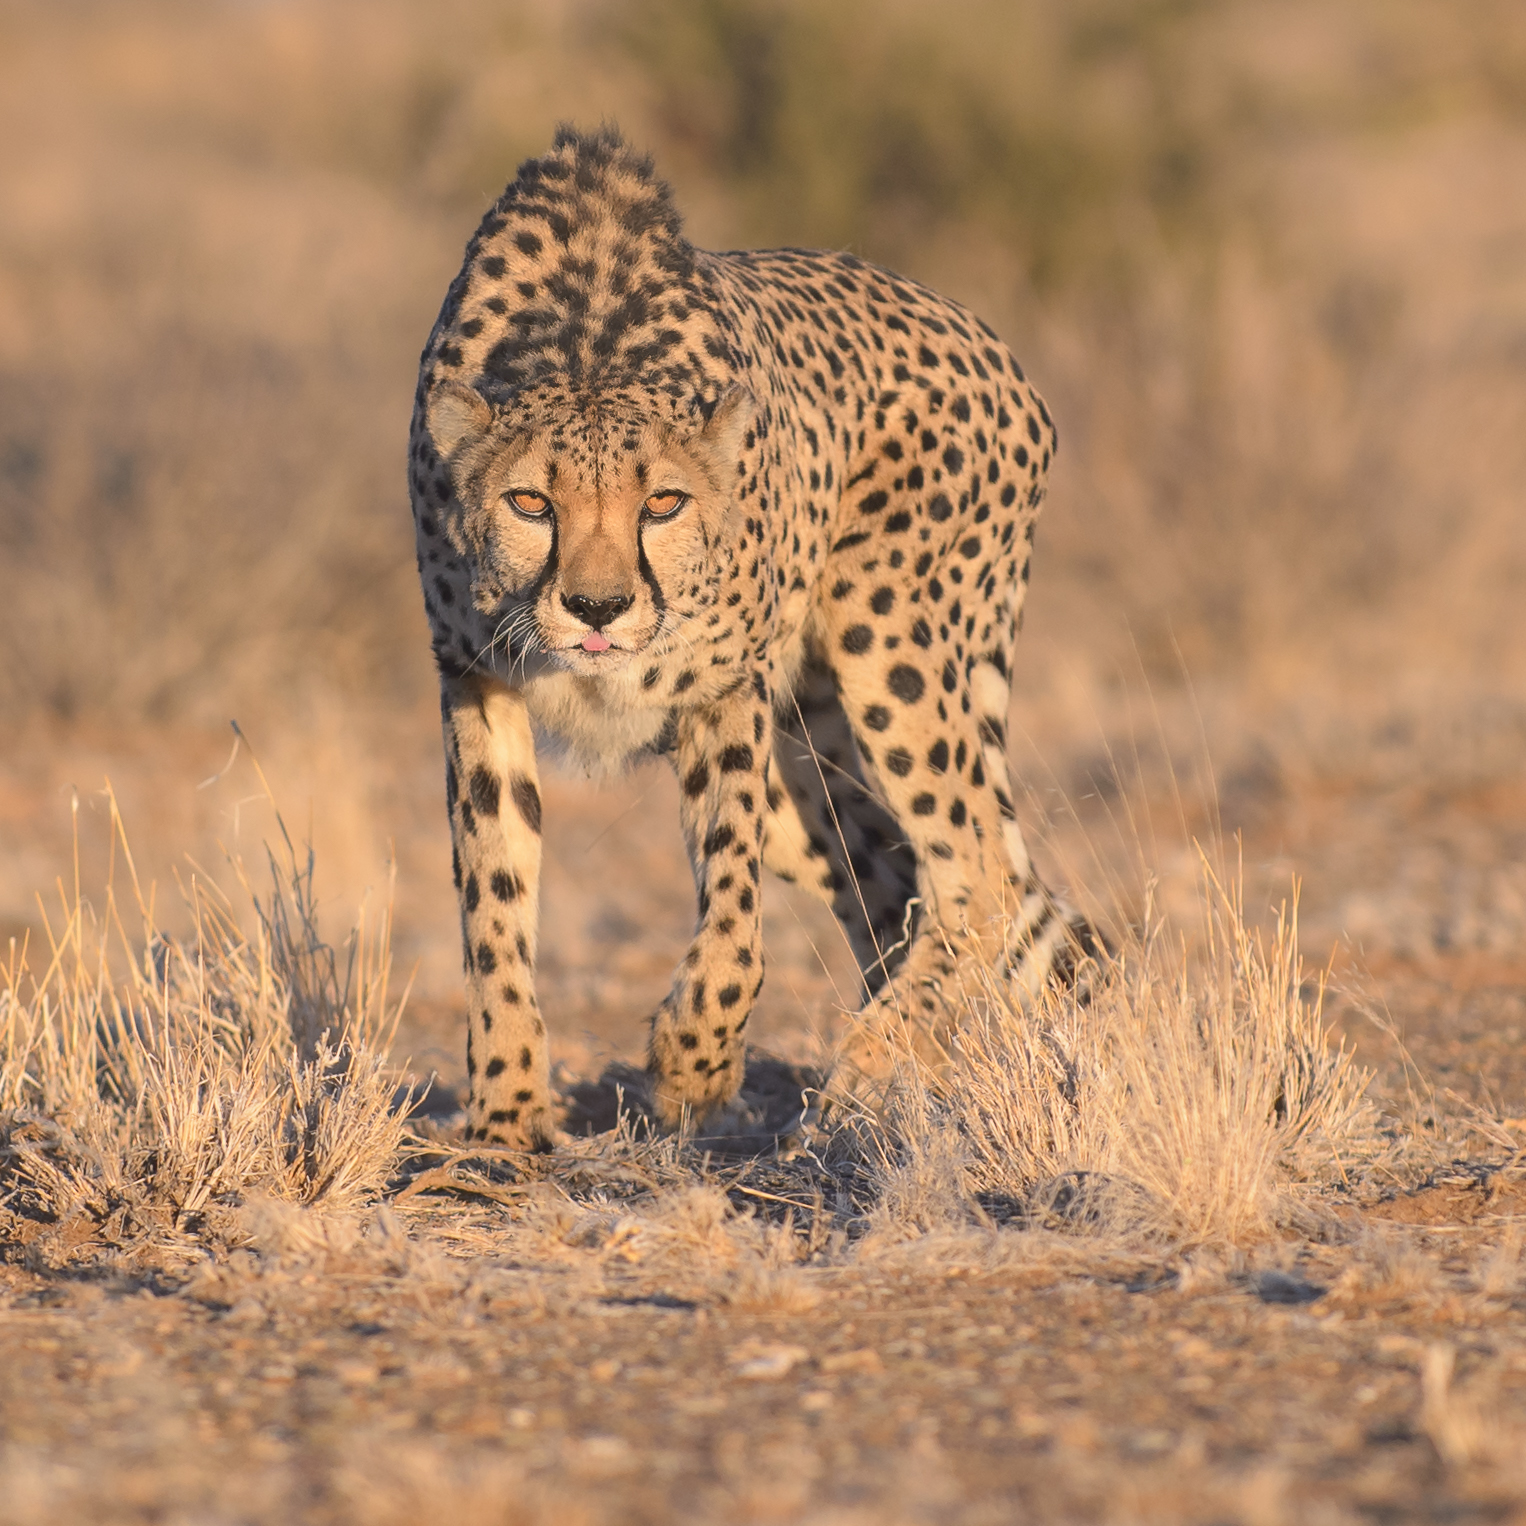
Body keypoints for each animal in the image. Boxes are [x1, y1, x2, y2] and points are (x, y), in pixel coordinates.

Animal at [407, 125, 1100, 1150]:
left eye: (663, 504)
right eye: (529, 503)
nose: (597, 608)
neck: (585, 346)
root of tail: (991, 348)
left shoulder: (724, 690)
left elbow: (731, 908)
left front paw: (694, 1067)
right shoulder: (475, 679)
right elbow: (494, 903)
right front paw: (505, 1114)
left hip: (891, 648)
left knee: (977, 872)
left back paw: (866, 1075)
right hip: (813, 757)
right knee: (901, 883)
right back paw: (906, 1075)